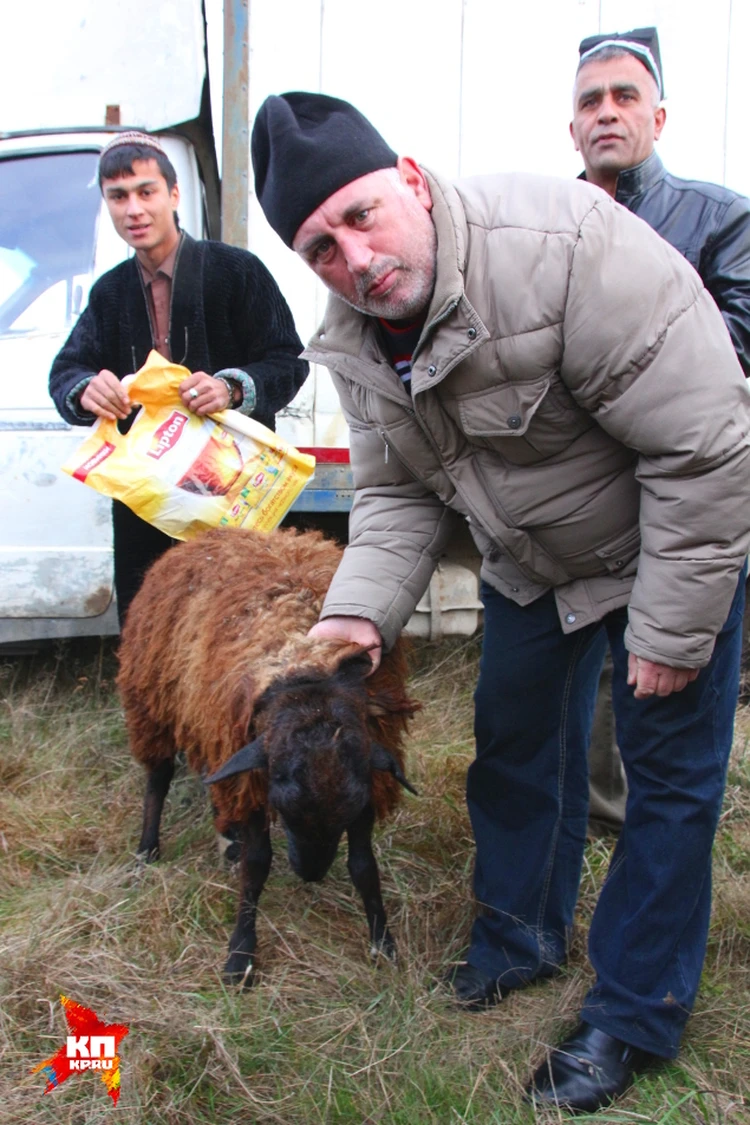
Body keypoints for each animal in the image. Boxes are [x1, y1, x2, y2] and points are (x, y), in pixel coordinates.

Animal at [120, 526, 420, 985]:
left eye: (347, 814)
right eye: (287, 810)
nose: (311, 875)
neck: (307, 675)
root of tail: (212, 533)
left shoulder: (367, 777)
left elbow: (363, 865)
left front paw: (383, 944)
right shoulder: (255, 776)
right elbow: (257, 863)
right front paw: (240, 955)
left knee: (214, 780)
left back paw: (226, 839)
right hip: (154, 703)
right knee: (158, 778)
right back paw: (147, 852)